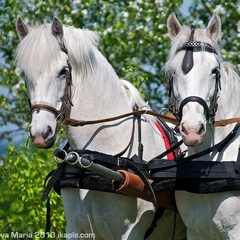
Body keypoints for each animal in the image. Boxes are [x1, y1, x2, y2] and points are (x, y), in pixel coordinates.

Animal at [15, 17, 186, 240]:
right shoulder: (76, 229)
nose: (40, 134)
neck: (95, 158)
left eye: (63, 71)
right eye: (24, 74)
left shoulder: (130, 231)